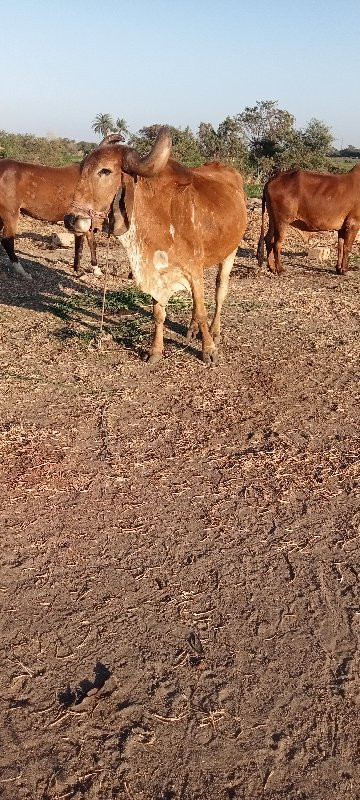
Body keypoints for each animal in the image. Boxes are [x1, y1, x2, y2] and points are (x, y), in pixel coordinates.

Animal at [64, 126, 248, 364]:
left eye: (105, 171)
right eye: (82, 169)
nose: (71, 220)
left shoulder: (193, 269)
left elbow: (201, 311)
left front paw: (208, 350)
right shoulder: (157, 271)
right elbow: (159, 313)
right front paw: (155, 350)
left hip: (230, 253)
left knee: (219, 291)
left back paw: (214, 331)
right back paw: (192, 329)